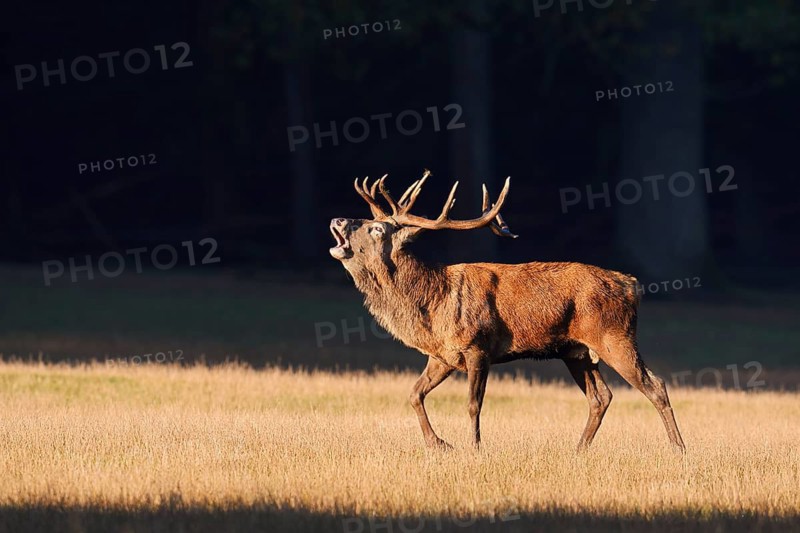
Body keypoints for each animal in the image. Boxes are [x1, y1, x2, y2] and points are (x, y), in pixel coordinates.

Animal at [329, 170, 685, 453]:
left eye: (377, 229)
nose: (337, 218)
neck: (433, 304)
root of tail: (632, 284)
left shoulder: (478, 346)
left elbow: (473, 404)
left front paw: (474, 448)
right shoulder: (442, 356)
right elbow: (414, 393)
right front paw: (439, 444)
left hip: (615, 337)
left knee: (656, 385)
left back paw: (678, 449)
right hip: (577, 351)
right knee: (601, 397)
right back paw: (578, 450)